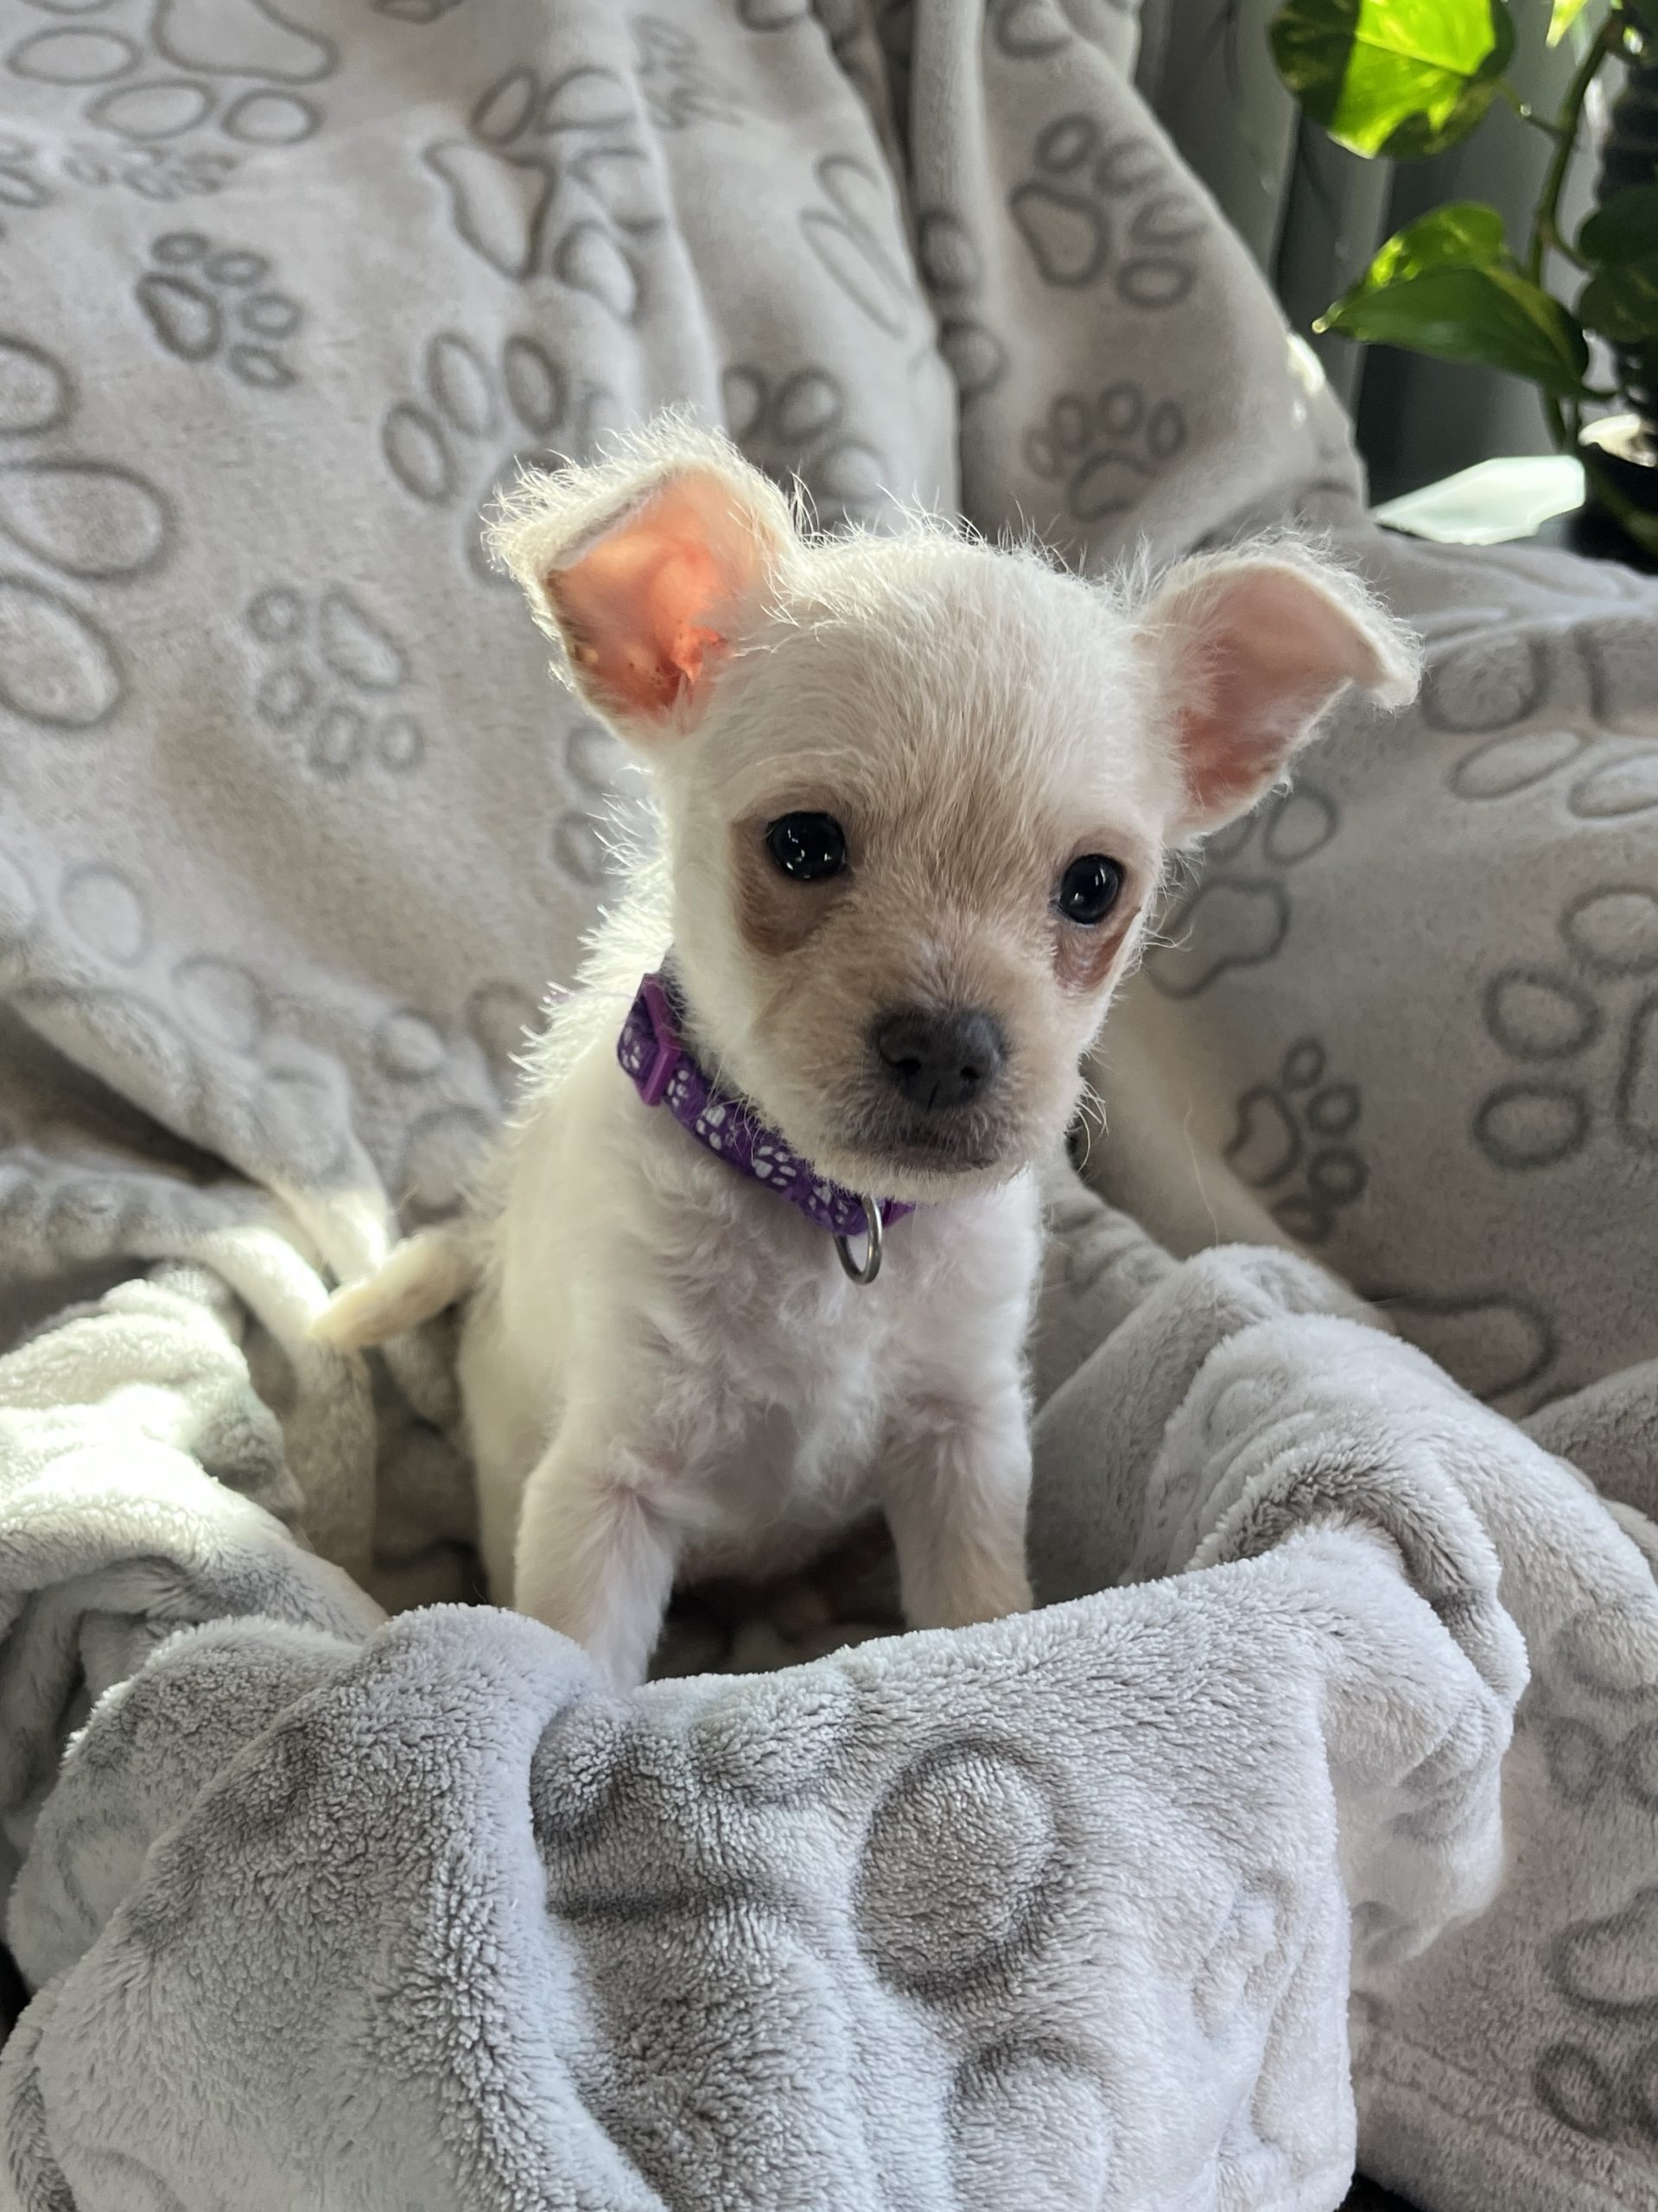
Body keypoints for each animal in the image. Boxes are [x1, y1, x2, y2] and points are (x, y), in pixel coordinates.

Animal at [315, 420, 1418, 1686]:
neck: (831, 1221)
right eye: (802, 845)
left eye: (1092, 887)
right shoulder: (605, 1487)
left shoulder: (963, 1448)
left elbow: (976, 1610)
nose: (946, 1047)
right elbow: (575, 1658)